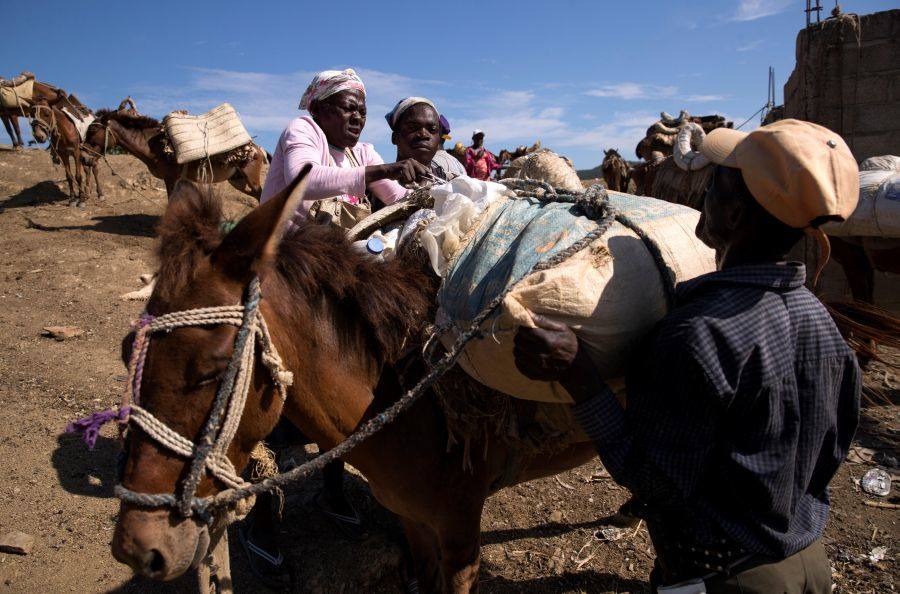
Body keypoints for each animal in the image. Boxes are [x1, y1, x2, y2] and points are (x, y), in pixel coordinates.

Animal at [109, 173, 596, 588]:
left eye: (213, 368)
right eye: (127, 350)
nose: (139, 548)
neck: (409, 396)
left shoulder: (460, 537)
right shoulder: (411, 519)